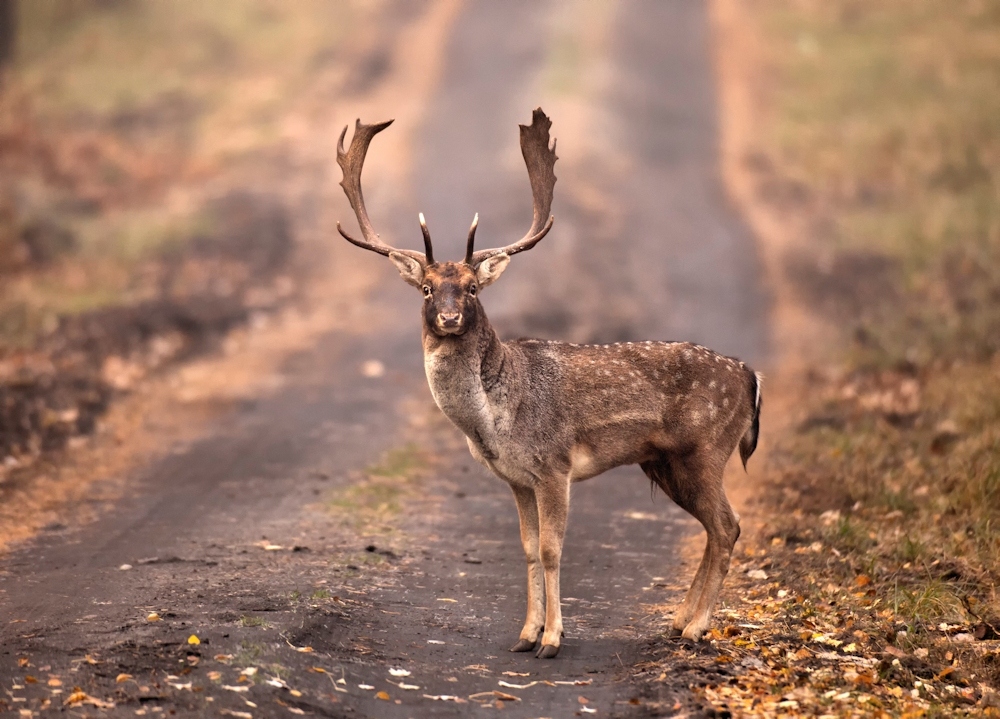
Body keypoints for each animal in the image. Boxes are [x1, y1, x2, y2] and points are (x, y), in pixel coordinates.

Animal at [332, 107, 760, 660]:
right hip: (665, 463)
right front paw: (525, 634)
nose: (449, 318)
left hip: (705, 448)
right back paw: (678, 621)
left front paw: (553, 640)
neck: (495, 424)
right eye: (426, 288)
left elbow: (553, 549)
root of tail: (751, 376)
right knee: (712, 527)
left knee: (727, 525)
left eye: (472, 288)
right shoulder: (518, 478)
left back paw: (696, 628)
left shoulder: (555, 465)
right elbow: (530, 549)